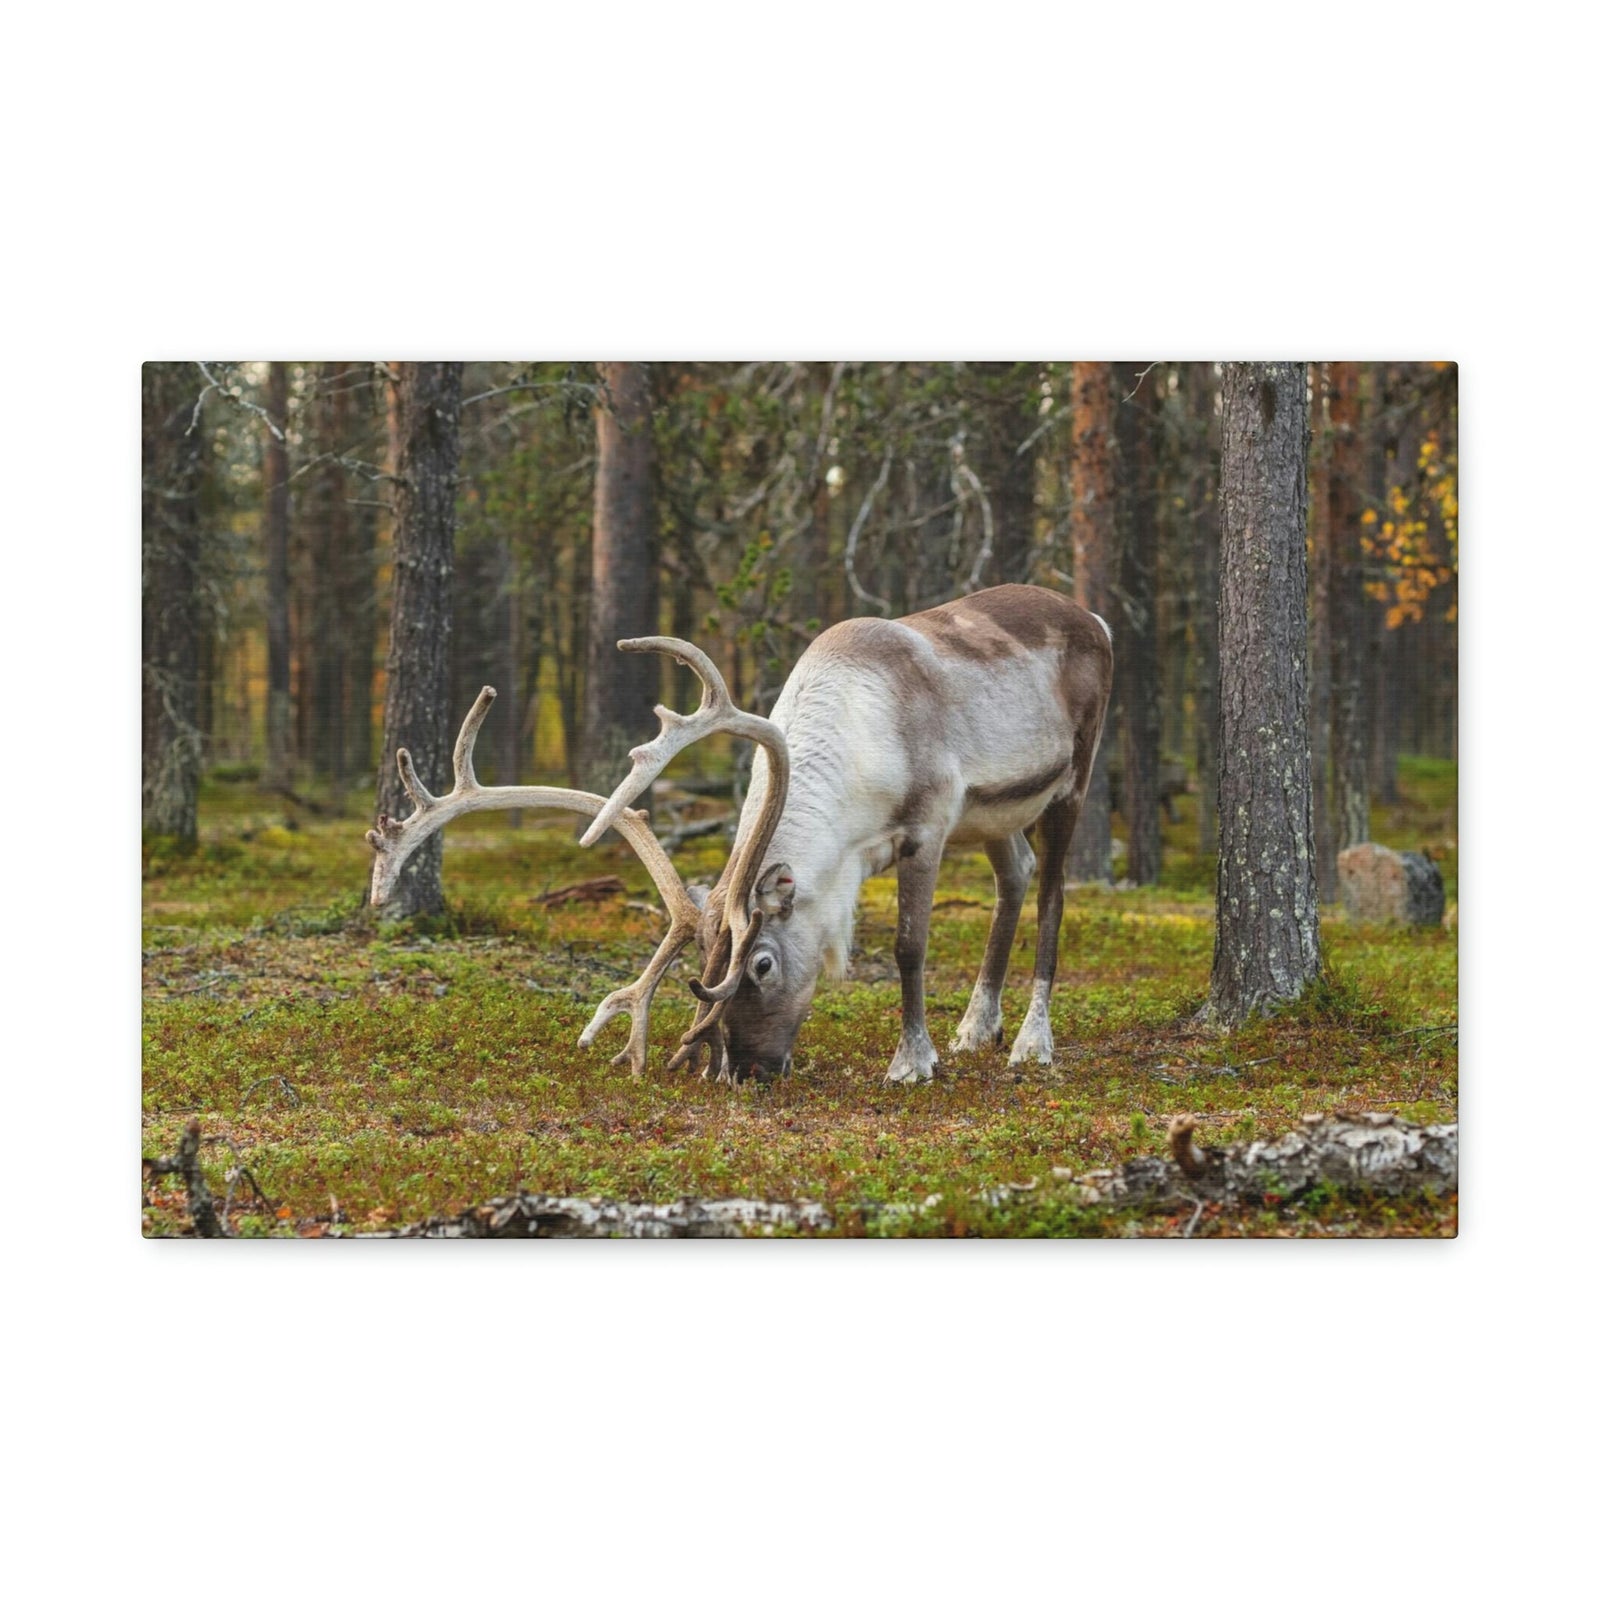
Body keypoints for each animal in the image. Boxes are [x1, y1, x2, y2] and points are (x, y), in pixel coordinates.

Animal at [366, 583, 1113, 1086]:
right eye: (701, 971)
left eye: (760, 965)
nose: (745, 1070)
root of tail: (1095, 618)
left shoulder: (927, 825)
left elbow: (908, 946)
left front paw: (910, 1061)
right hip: (996, 811)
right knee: (1015, 876)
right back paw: (976, 1028)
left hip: (1074, 777)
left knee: (1053, 895)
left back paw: (1030, 1042)